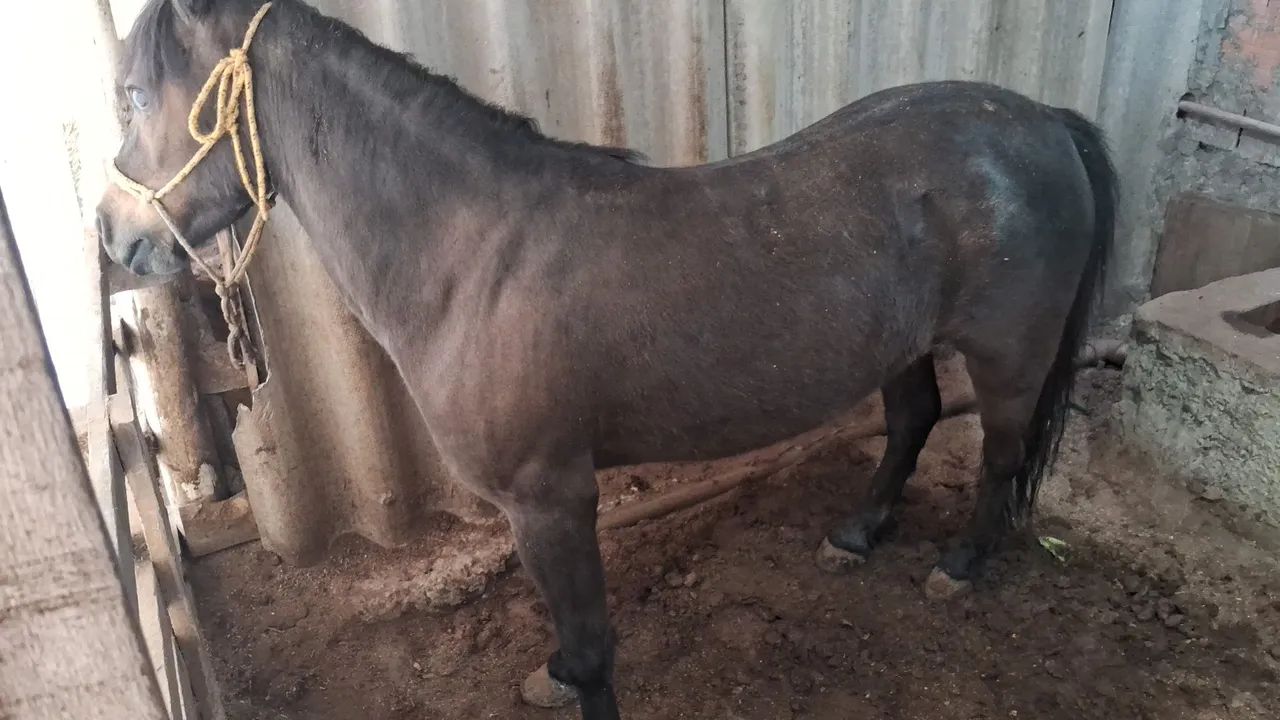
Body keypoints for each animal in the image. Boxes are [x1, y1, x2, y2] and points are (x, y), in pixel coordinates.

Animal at [96, 1, 1116, 717]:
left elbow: (593, 648)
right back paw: (857, 536)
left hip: (1011, 356)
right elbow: (570, 638)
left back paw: (962, 565)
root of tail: (1038, 120)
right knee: (912, 421)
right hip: (898, 344)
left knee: (1001, 452)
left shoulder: (551, 496)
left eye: (139, 94)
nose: (112, 235)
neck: (471, 255)